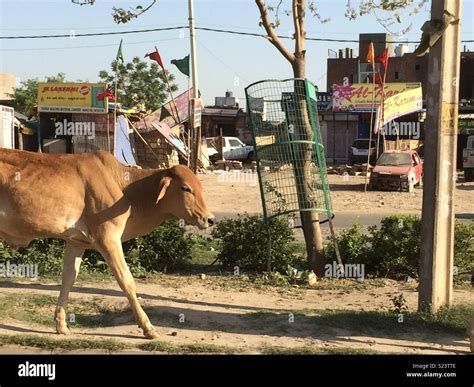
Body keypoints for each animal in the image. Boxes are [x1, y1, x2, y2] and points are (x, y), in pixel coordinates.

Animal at [0, 149, 215, 340]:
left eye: (200, 187)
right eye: (185, 188)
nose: (210, 219)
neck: (126, 189)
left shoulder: (76, 242)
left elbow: (68, 279)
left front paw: (61, 325)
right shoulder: (108, 238)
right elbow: (127, 281)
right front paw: (148, 328)